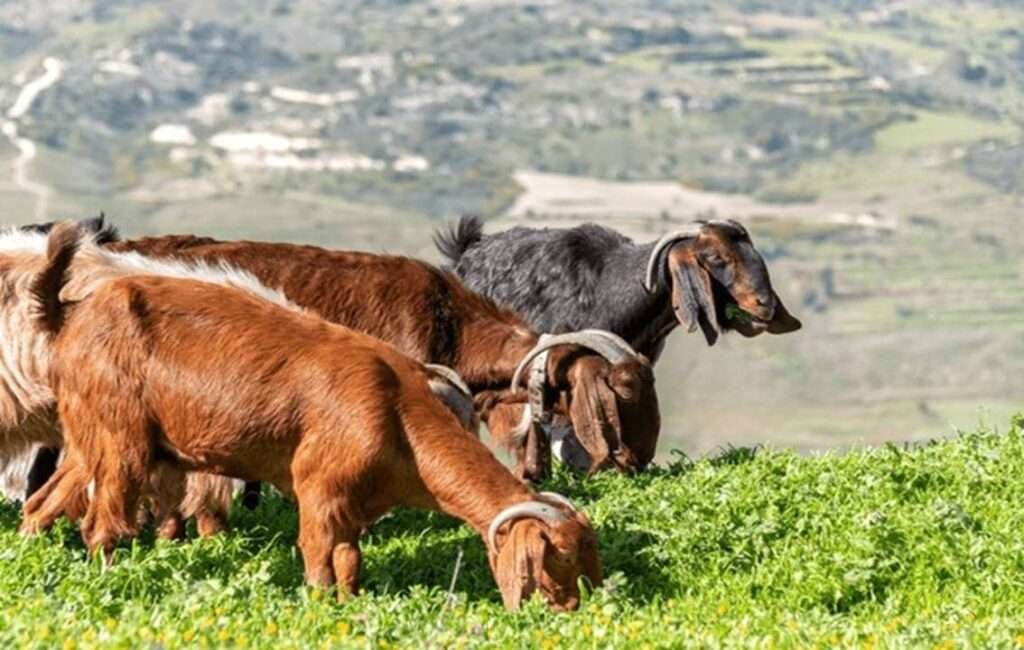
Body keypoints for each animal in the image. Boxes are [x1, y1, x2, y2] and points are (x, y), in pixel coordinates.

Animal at [39, 224, 602, 610]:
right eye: (559, 556)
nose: (574, 607)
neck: (396, 413)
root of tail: (75, 312)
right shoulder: (318, 489)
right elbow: (316, 558)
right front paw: (318, 609)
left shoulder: (353, 508)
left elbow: (348, 562)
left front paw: (349, 606)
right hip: (122, 444)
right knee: (101, 525)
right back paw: (110, 581)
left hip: (94, 441)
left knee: (54, 503)